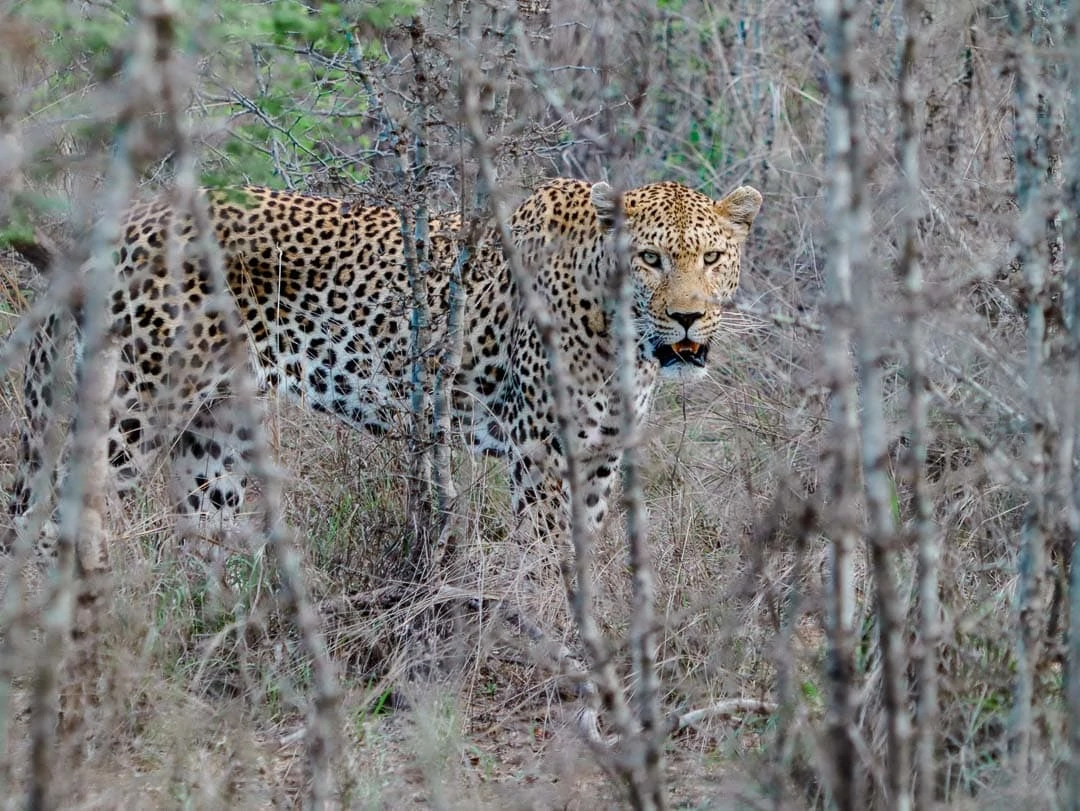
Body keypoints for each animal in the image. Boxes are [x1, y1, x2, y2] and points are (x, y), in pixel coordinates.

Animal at [5, 177, 761, 566]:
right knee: (50, 525)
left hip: (213, 435)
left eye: (712, 258)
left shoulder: (601, 454)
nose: (689, 318)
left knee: (199, 534)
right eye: (651, 260)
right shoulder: (545, 452)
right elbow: (546, 551)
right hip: (129, 410)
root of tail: (122, 221)